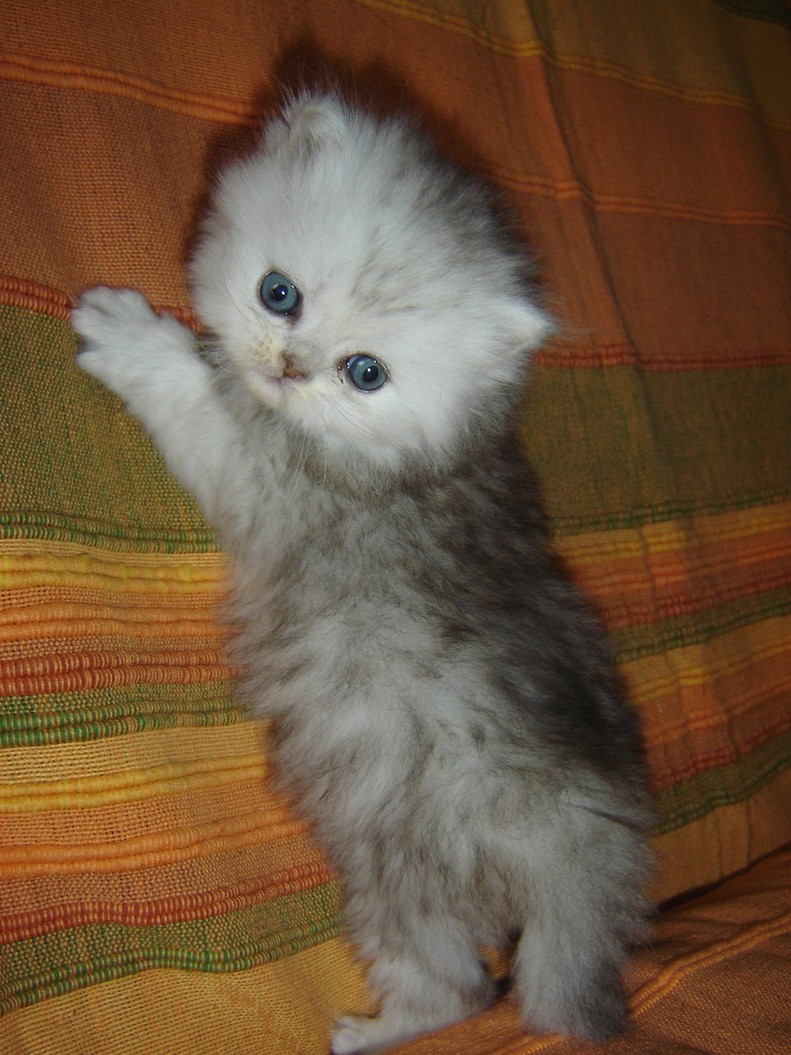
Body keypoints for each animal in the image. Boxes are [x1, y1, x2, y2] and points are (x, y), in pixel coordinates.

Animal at [72, 92, 658, 1055]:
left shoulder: (260, 472)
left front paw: (128, 337)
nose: (289, 366)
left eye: (365, 372)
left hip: (396, 859)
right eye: (279, 292)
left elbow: (190, 395)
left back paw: (371, 1030)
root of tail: (584, 857)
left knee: (462, 987)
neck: (412, 449)